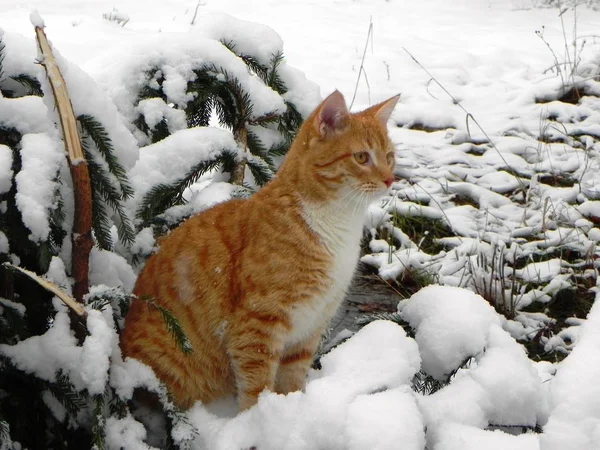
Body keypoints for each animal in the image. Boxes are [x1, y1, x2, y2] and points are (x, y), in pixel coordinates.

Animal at [120, 91, 398, 412]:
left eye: (389, 157)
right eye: (362, 157)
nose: (390, 179)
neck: (337, 225)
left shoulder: (310, 327)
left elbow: (292, 378)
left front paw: (292, 409)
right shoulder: (258, 322)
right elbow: (256, 383)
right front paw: (258, 418)